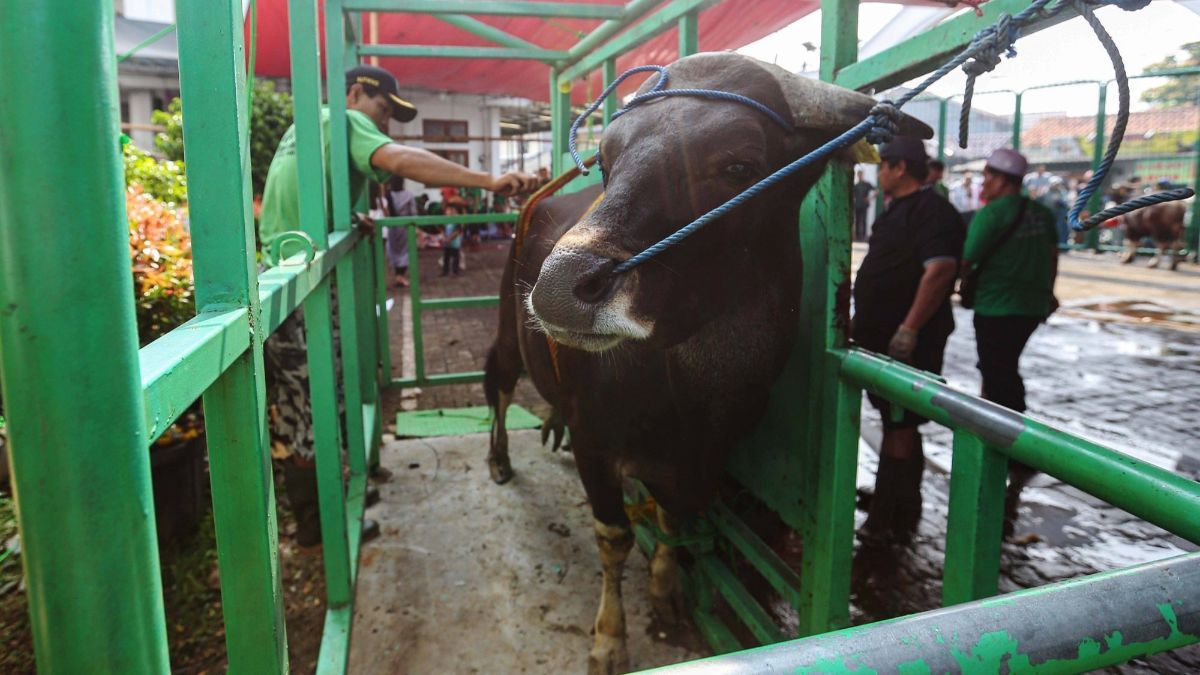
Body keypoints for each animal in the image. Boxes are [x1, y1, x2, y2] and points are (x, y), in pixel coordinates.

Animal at [482, 53, 931, 672]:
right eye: (607, 161)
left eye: (739, 164)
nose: (558, 289)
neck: (687, 397)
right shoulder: (597, 443)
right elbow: (615, 537)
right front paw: (609, 639)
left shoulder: (700, 461)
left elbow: (673, 521)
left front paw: (666, 591)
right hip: (509, 328)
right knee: (499, 384)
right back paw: (499, 456)